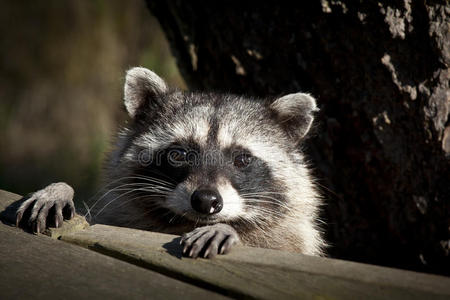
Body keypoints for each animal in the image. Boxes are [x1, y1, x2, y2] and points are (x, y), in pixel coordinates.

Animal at [16, 68, 324, 258]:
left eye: (242, 159)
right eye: (179, 154)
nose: (206, 201)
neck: (183, 222)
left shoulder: (291, 239)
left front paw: (227, 228)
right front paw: (60, 189)